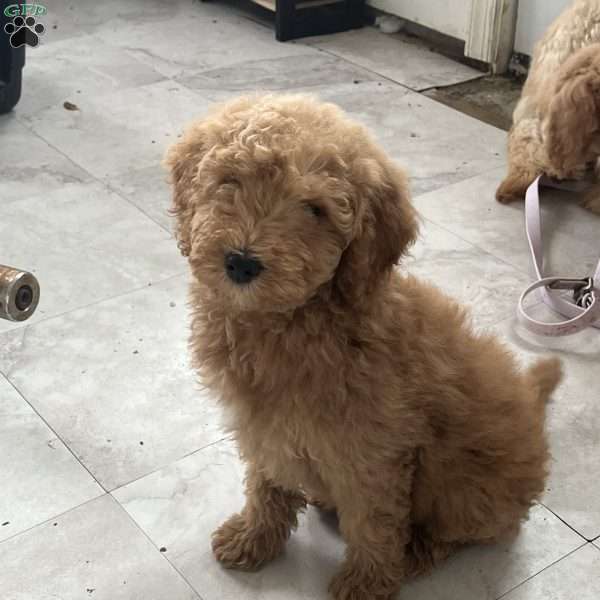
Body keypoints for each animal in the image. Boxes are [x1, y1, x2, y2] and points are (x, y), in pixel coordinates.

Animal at [165, 96, 564, 596]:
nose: (240, 262)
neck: (292, 324)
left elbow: (374, 521)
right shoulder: (266, 426)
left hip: (466, 486)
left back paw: (413, 553)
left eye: (314, 209)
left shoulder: (373, 450)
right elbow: (265, 483)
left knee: (460, 531)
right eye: (230, 180)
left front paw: (366, 583)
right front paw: (253, 538)